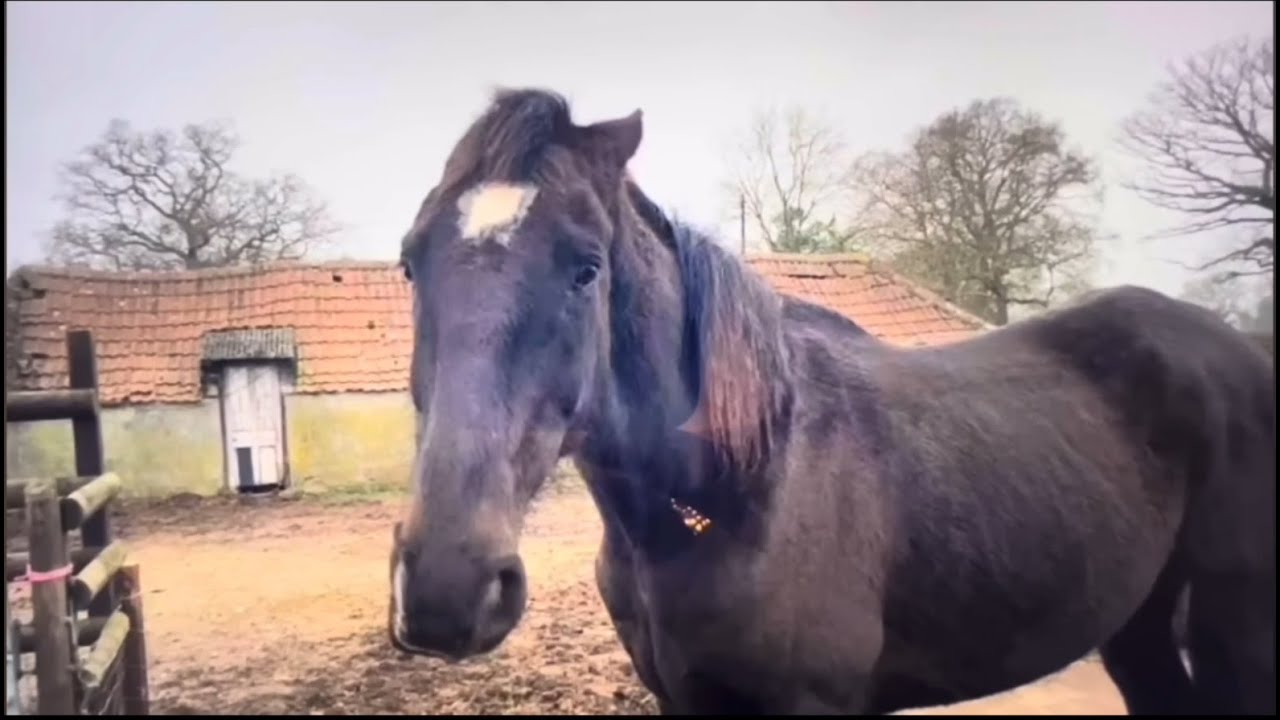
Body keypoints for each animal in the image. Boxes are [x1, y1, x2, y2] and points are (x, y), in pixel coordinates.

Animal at [386, 88, 1276, 715]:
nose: (446, 586)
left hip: (1234, 628)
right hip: (1141, 624)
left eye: (586, 268)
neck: (739, 490)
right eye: (409, 261)